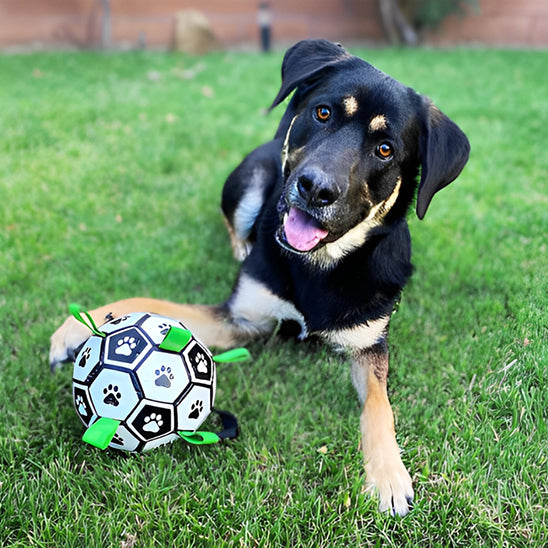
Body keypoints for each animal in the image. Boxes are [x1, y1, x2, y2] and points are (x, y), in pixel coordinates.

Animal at [49, 40, 470, 516]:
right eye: (323, 113)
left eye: (385, 149)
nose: (315, 188)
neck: (316, 266)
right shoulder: (243, 318)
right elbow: (158, 306)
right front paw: (80, 324)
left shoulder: (368, 344)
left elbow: (380, 407)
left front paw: (388, 475)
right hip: (251, 181)